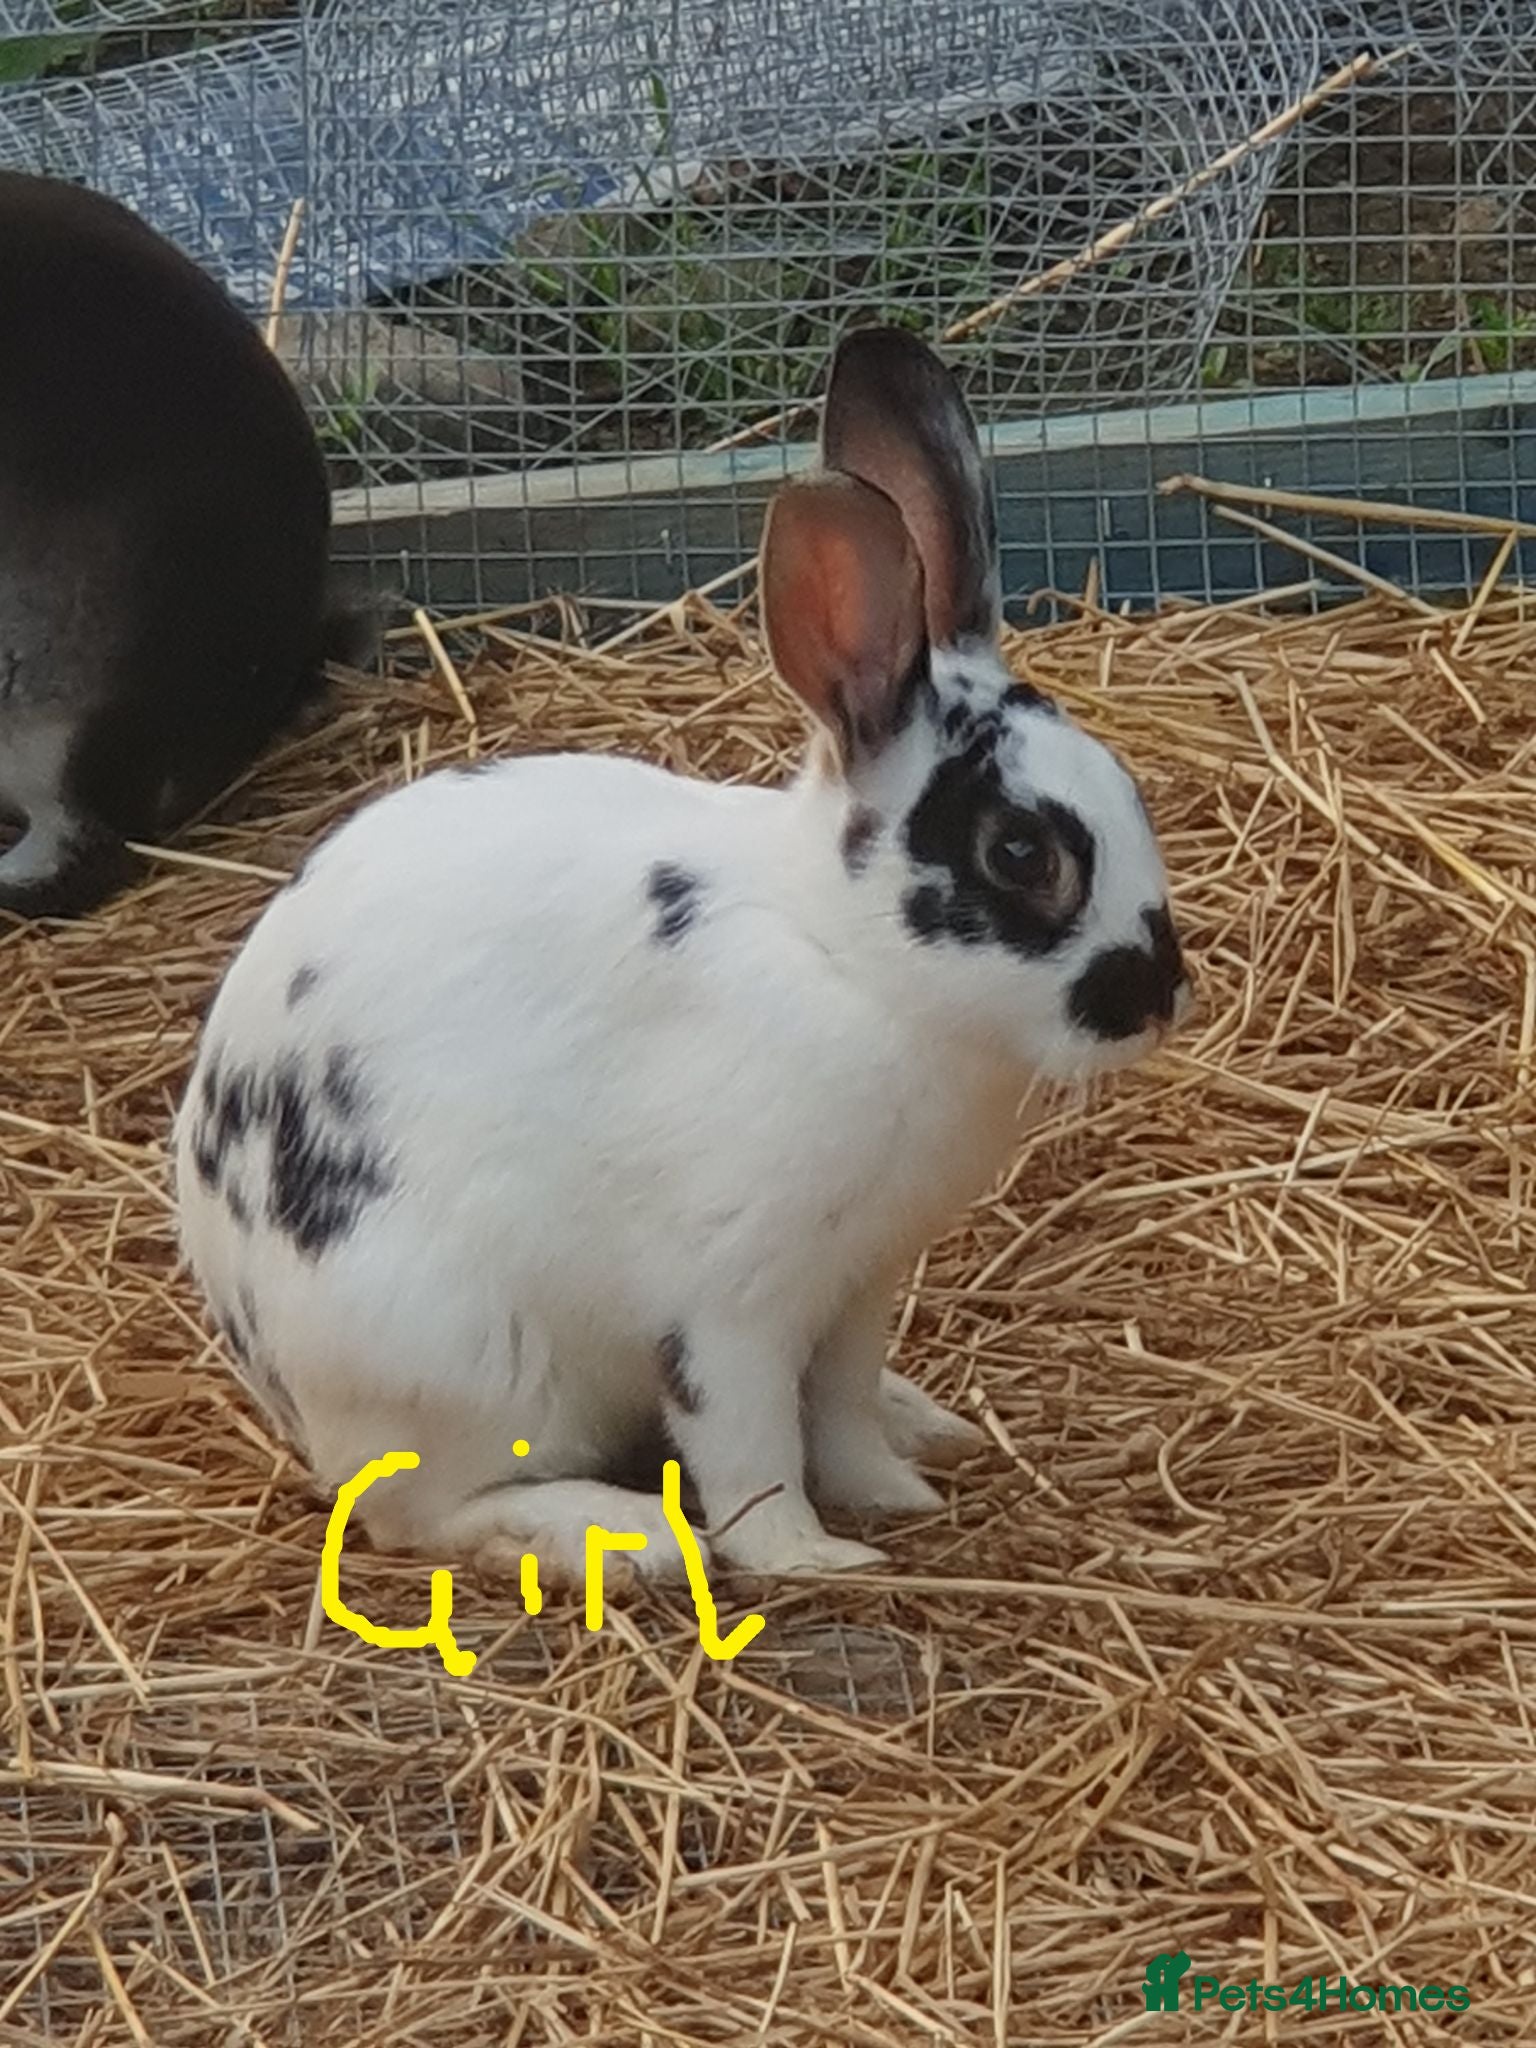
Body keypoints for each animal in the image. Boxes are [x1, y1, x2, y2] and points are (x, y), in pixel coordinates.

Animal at [172, 324, 1190, 1588]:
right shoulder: (729, 1302)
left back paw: (925, 1423)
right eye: (1020, 854)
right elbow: (751, 1445)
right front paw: (813, 1557)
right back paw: (624, 1532)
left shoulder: (855, 1288)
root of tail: (258, 1342)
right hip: (455, 1356)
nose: (1162, 993)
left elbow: (839, 1413)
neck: (844, 962)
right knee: (426, 1513)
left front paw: (889, 1495)